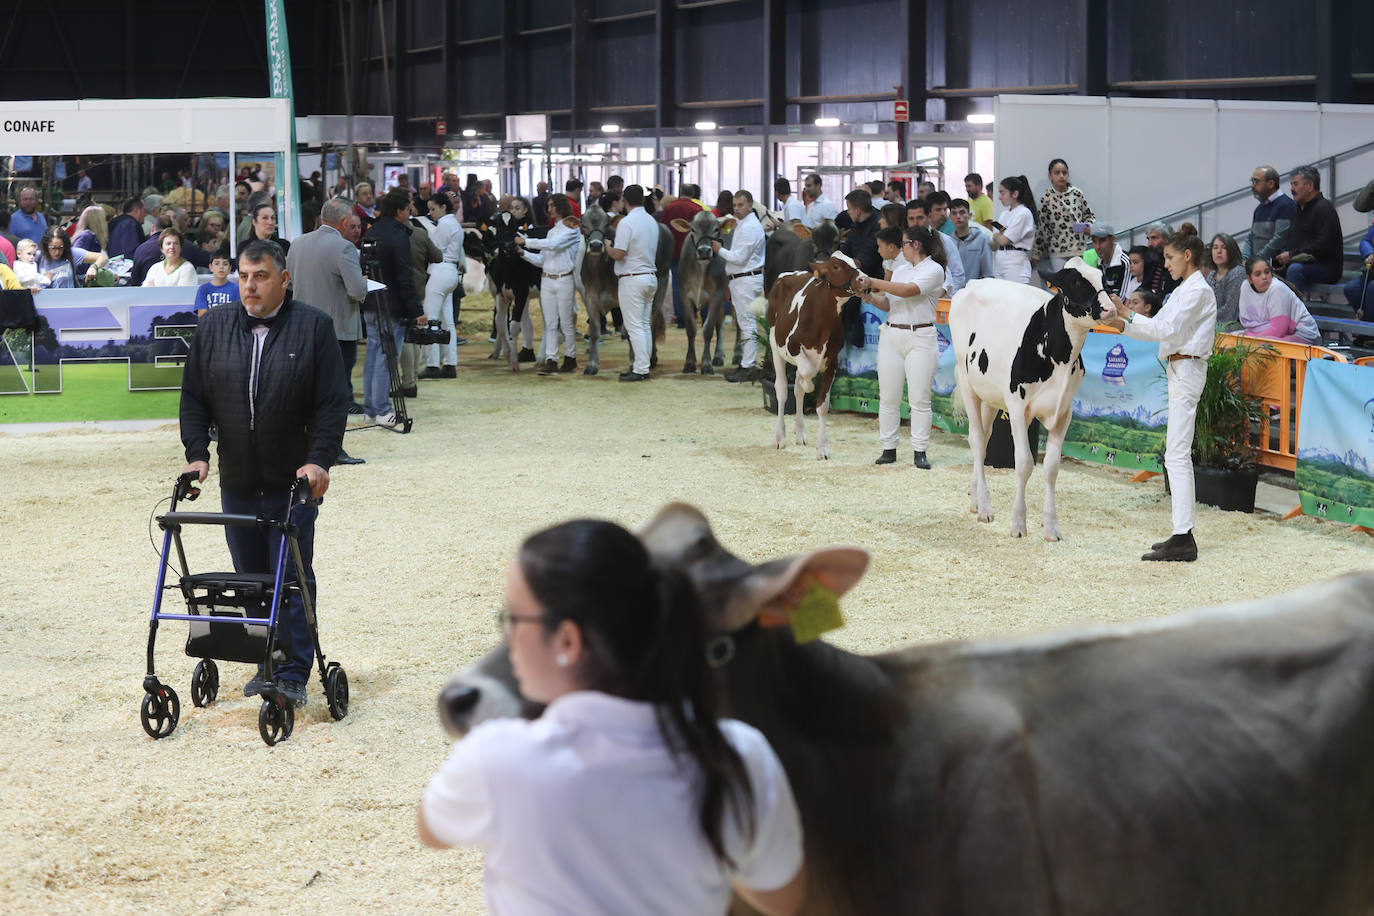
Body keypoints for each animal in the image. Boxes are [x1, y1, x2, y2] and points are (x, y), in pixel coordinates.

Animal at [763, 251, 857, 458]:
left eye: (858, 263)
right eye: (836, 266)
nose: (864, 279)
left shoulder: (832, 362)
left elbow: (822, 405)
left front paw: (823, 448)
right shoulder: (792, 345)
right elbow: (808, 373)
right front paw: (809, 385)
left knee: (796, 391)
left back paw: (800, 433)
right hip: (774, 345)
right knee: (782, 389)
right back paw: (779, 437)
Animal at [950, 258, 1110, 541]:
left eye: (1102, 277)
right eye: (1075, 281)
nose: (1110, 308)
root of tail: (972, 284)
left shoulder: (1064, 411)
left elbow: (1052, 468)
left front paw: (1051, 527)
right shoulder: (1017, 406)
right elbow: (1023, 463)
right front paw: (1018, 524)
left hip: (990, 396)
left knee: (984, 437)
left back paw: (976, 500)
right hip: (967, 380)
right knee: (977, 439)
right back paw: (986, 508)